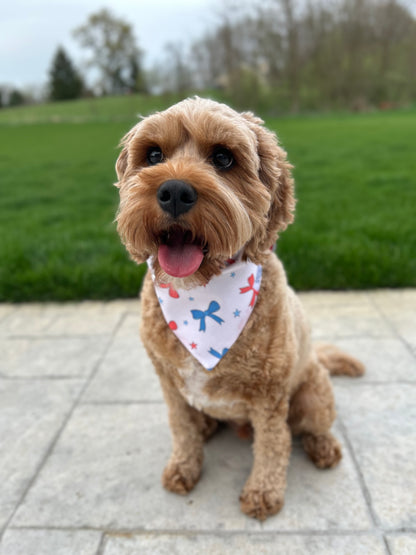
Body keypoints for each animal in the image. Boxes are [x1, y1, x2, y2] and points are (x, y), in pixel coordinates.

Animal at [114, 99, 364, 520]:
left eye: (223, 157)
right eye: (153, 155)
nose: (174, 191)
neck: (201, 300)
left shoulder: (270, 396)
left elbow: (273, 443)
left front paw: (263, 493)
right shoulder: (169, 383)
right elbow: (181, 428)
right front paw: (184, 467)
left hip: (312, 395)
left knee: (308, 428)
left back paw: (323, 447)